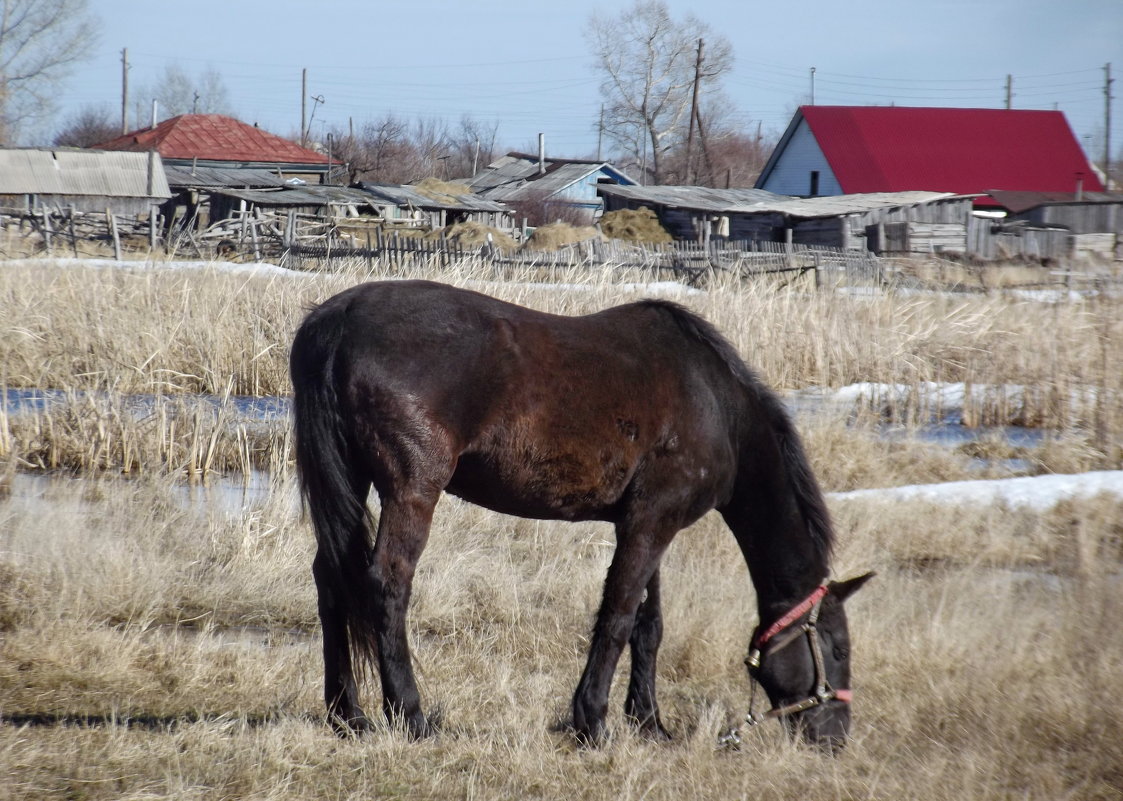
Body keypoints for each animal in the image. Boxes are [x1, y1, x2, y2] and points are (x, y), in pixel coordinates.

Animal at [287, 278, 866, 745]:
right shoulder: (653, 523)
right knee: (387, 583)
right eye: (837, 649)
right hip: (412, 491)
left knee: (332, 580)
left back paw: (348, 716)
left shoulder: (644, 523)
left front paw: (649, 723)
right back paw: (411, 715)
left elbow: (648, 623)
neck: (719, 409)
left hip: (351, 482)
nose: (835, 737)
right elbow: (618, 615)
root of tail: (339, 317)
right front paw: (593, 721)